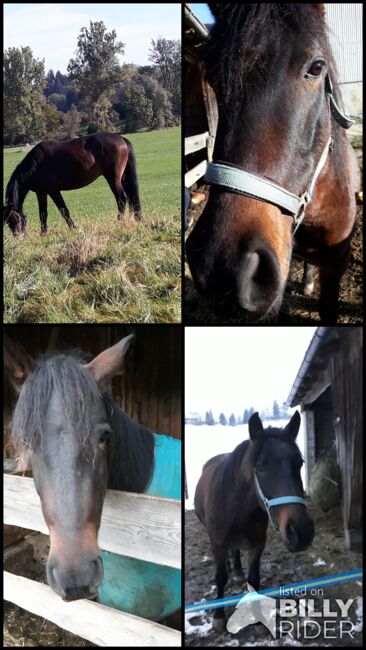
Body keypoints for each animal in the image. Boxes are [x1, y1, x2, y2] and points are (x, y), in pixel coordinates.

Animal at [3, 130, 143, 234]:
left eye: (16, 219)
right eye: (8, 222)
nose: (18, 236)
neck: (35, 165)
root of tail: (121, 139)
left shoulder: (53, 191)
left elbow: (63, 210)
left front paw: (73, 228)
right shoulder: (41, 193)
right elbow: (43, 213)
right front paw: (43, 233)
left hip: (113, 179)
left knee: (121, 199)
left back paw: (118, 222)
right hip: (123, 178)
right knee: (131, 197)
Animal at [194, 410, 314, 628]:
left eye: (299, 463)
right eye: (260, 467)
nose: (301, 531)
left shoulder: (258, 544)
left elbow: (253, 579)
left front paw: (257, 615)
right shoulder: (217, 544)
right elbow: (220, 577)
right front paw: (218, 616)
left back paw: (237, 570)